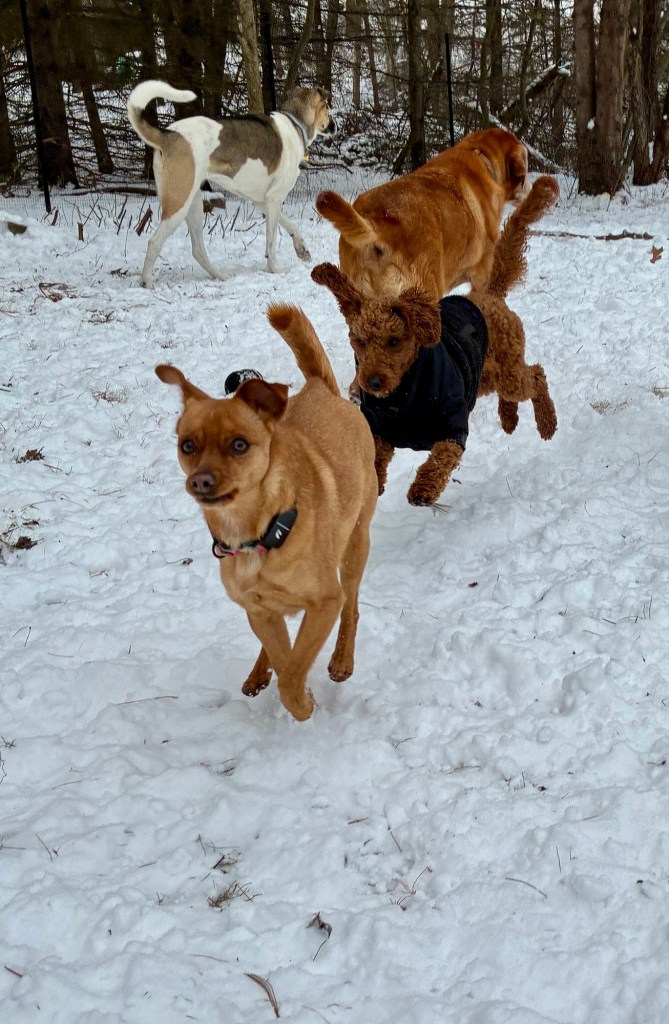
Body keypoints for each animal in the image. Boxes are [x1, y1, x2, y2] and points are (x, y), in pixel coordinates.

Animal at [127, 80, 335, 286]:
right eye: (327, 107)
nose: (334, 126)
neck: (295, 123)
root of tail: (168, 134)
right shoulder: (274, 198)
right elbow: (271, 241)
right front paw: (274, 269)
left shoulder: (263, 201)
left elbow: (291, 225)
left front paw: (301, 249)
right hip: (179, 203)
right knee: (154, 242)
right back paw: (147, 281)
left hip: (194, 205)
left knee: (198, 250)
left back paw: (219, 275)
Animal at [155, 307, 377, 722]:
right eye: (187, 445)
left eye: (239, 445)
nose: (200, 481)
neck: (259, 534)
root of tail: (319, 388)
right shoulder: (259, 610)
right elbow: (285, 657)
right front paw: (289, 682)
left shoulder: (325, 602)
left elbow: (293, 674)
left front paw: (304, 705)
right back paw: (260, 672)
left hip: (356, 543)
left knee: (352, 606)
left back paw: (342, 659)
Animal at [312, 175, 559, 507]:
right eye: (360, 342)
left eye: (394, 341)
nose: (372, 383)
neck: (403, 395)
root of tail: (489, 295)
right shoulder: (381, 432)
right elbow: (375, 461)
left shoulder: (452, 428)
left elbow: (440, 459)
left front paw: (423, 489)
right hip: (483, 377)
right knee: (512, 385)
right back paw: (509, 419)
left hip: (506, 371)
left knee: (535, 375)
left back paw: (547, 424)